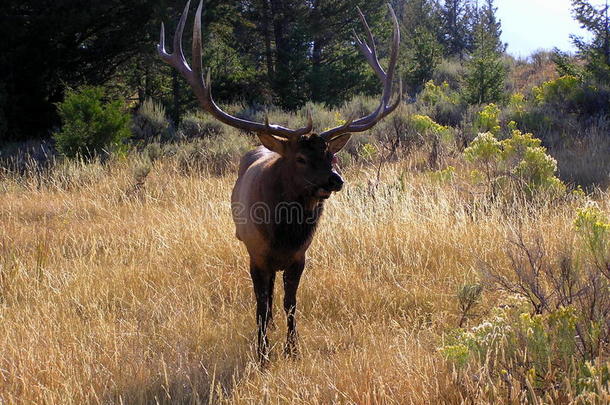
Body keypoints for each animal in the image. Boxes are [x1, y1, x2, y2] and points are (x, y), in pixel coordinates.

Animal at [159, 0, 402, 360]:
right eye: (300, 158)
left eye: (331, 155)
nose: (336, 180)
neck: (284, 235)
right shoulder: (255, 254)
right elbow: (261, 305)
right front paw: (262, 354)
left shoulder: (300, 256)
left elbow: (290, 303)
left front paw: (292, 349)